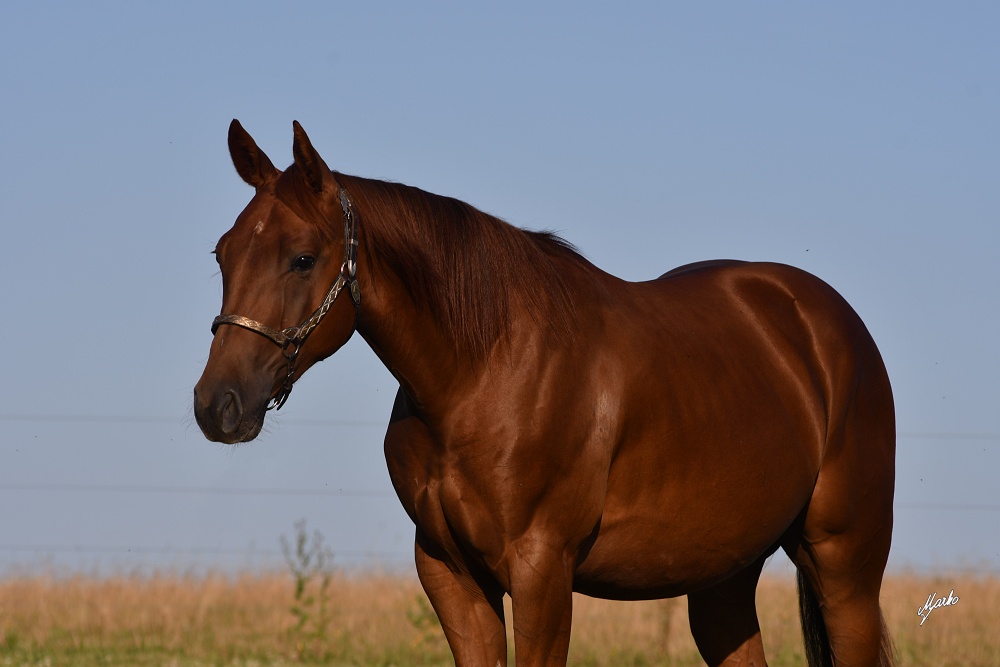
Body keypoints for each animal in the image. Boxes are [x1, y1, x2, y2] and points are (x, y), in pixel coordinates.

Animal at [195, 121, 900, 667]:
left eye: (303, 258)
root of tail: (824, 321)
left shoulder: (542, 573)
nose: (216, 406)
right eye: (222, 253)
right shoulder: (451, 574)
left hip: (845, 568)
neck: (482, 372)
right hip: (723, 579)